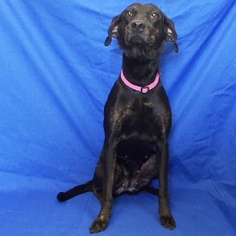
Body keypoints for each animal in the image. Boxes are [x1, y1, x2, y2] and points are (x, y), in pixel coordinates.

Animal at [58, 2, 178, 233]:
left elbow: (165, 185)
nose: (137, 25)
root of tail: (129, 185)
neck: (140, 83)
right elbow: (106, 194)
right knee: (99, 189)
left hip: (154, 160)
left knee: (151, 187)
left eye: (154, 15)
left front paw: (166, 213)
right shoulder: (111, 141)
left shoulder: (163, 144)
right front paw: (102, 218)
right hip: (107, 166)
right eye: (128, 13)